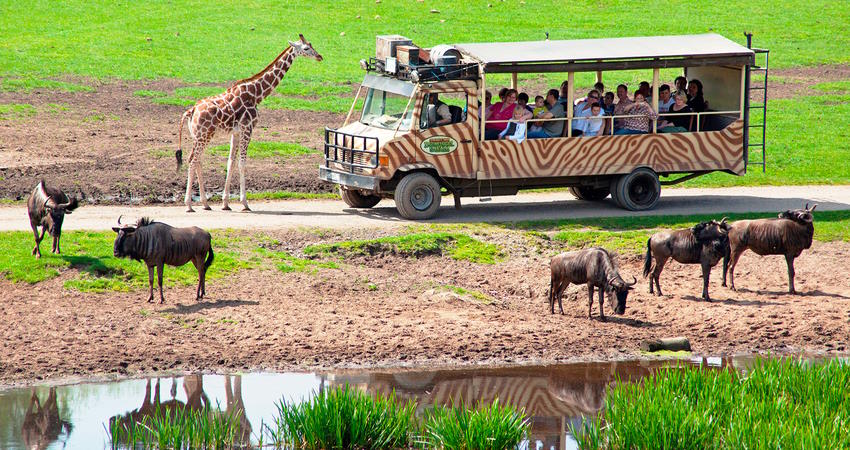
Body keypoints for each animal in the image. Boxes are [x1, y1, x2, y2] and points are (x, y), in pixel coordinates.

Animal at [177, 34, 322, 212]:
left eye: (312, 45)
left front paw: (225, 203)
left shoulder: (236, 131)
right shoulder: (248, 128)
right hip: (204, 135)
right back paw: (189, 204)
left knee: (197, 160)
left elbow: (231, 162)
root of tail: (191, 111)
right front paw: (245, 203)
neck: (257, 94)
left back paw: (205, 203)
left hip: (199, 136)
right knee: (192, 160)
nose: (319, 57)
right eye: (306, 48)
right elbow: (242, 163)